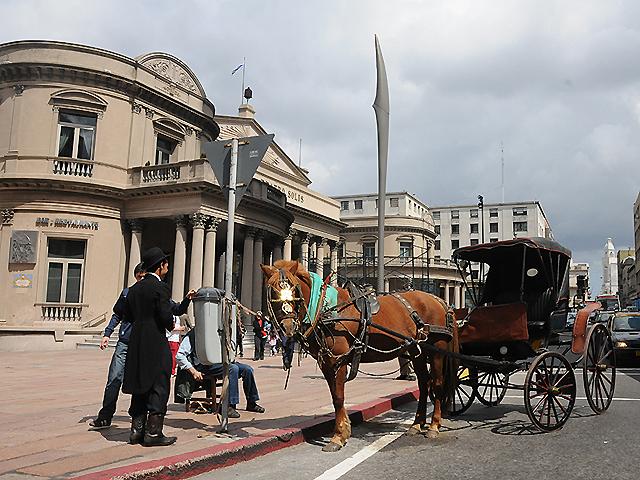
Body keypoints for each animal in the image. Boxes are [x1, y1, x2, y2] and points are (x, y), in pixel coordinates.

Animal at [262, 260, 460, 452]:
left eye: (294, 288)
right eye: (272, 290)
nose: (288, 326)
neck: (327, 309)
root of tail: (439, 300)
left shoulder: (338, 360)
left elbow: (339, 397)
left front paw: (338, 436)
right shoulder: (326, 362)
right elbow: (334, 396)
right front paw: (343, 431)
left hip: (436, 349)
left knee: (437, 383)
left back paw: (434, 426)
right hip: (416, 350)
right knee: (424, 383)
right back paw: (417, 424)